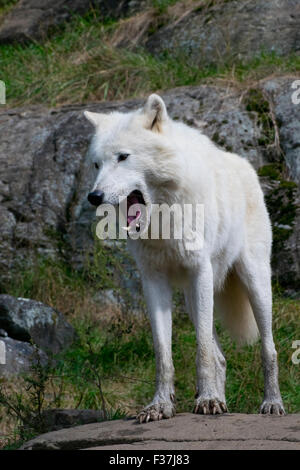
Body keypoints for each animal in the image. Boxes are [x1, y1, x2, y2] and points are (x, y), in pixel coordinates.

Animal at [83, 93, 284, 420]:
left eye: (123, 157)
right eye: (97, 164)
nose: (93, 196)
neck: (164, 221)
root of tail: (246, 166)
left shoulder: (199, 271)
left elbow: (201, 349)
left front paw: (209, 400)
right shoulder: (153, 281)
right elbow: (164, 353)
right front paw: (161, 405)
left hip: (253, 284)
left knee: (269, 348)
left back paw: (272, 403)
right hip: (192, 297)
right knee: (221, 357)